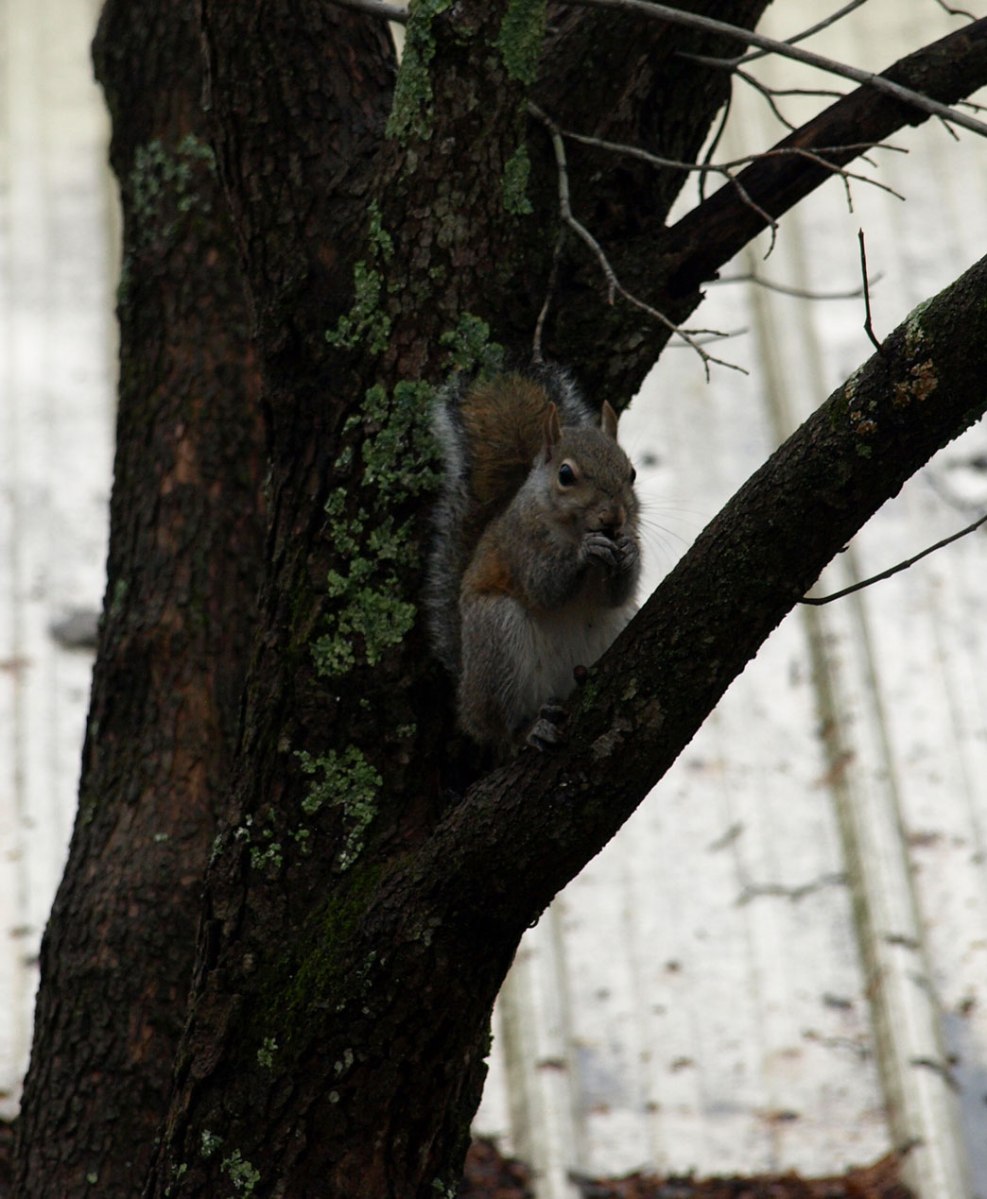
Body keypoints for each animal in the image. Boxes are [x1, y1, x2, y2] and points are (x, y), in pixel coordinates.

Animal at [427, 366, 641, 758]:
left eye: (631, 473)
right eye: (566, 475)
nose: (614, 518)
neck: (571, 529)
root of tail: (467, 703)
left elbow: (614, 596)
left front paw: (629, 551)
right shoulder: (520, 546)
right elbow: (543, 589)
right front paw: (585, 551)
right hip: (497, 638)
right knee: (502, 729)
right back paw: (528, 731)